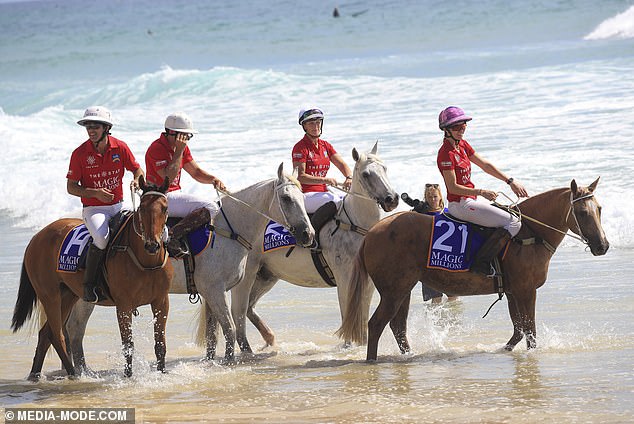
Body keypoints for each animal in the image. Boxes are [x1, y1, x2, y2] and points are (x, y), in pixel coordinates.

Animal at [11, 177, 173, 380]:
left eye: (165, 208)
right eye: (142, 208)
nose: (152, 245)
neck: (146, 262)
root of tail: (37, 236)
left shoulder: (161, 301)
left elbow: (160, 344)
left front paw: (162, 373)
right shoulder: (124, 305)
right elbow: (128, 344)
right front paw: (128, 376)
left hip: (68, 296)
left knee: (46, 333)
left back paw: (35, 375)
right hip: (50, 296)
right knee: (57, 335)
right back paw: (73, 374)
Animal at [62, 164, 314, 370]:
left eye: (303, 197)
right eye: (286, 198)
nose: (307, 234)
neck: (229, 229)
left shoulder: (211, 293)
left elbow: (213, 335)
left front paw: (213, 362)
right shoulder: (215, 290)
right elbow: (230, 329)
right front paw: (230, 362)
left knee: (74, 329)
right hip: (88, 296)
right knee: (74, 329)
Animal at [230, 142, 398, 352]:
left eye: (385, 168)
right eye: (367, 174)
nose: (392, 199)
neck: (354, 224)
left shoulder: (367, 282)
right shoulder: (345, 279)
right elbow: (347, 313)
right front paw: (348, 345)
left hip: (267, 275)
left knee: (250, 307)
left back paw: (270, 339)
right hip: (248, 275)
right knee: (240, 309)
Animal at [336, 178, 608, 362]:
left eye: (600, 209)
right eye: (582, 212)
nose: (602, 246)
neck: (528, 232)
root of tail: (372, 232)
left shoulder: (513, 291)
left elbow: (518, 331)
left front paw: (504, 349)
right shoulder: (526, 290)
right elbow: (529, 332)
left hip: (402, 290)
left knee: (398, 327)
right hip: (394, 292)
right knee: (376, 325)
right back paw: (372, 362)